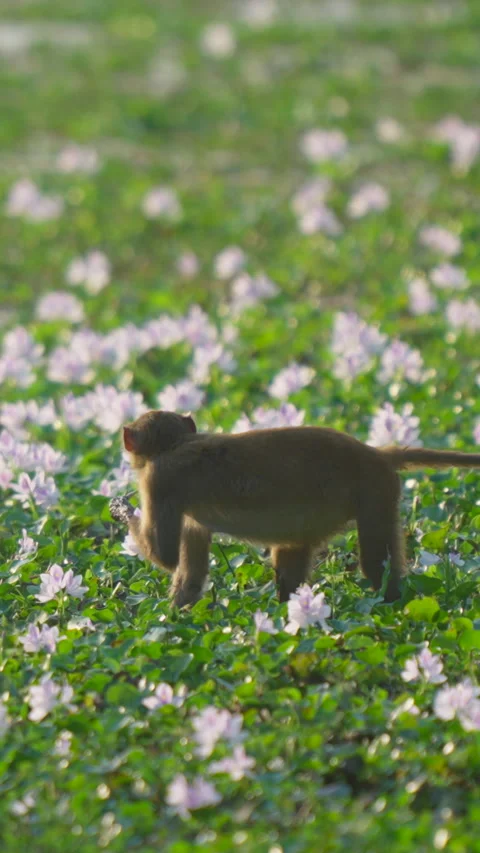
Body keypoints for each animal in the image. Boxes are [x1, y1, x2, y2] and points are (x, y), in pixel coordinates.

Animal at [109, 409, 480, 608]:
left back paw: (392, 601)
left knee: (375, 564)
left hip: (375, 491)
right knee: (292, 554)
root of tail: (375, 453)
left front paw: (123, 510)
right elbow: (189, 573)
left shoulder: (158, 480)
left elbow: (165, 556)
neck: (176, 444)